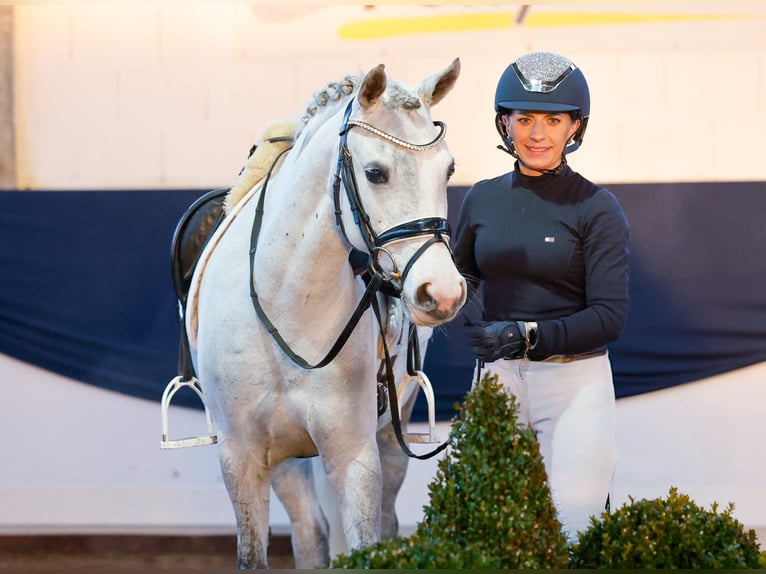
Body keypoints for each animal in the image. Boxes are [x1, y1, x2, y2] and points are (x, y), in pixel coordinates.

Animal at [186, 60, 464, 568]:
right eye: (375, 173)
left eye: (448, 169)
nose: (443, 292)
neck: (287, 304)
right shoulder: (241, 458)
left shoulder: (354, 454)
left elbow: (367, 544)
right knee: (309, 533)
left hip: (390, 436)